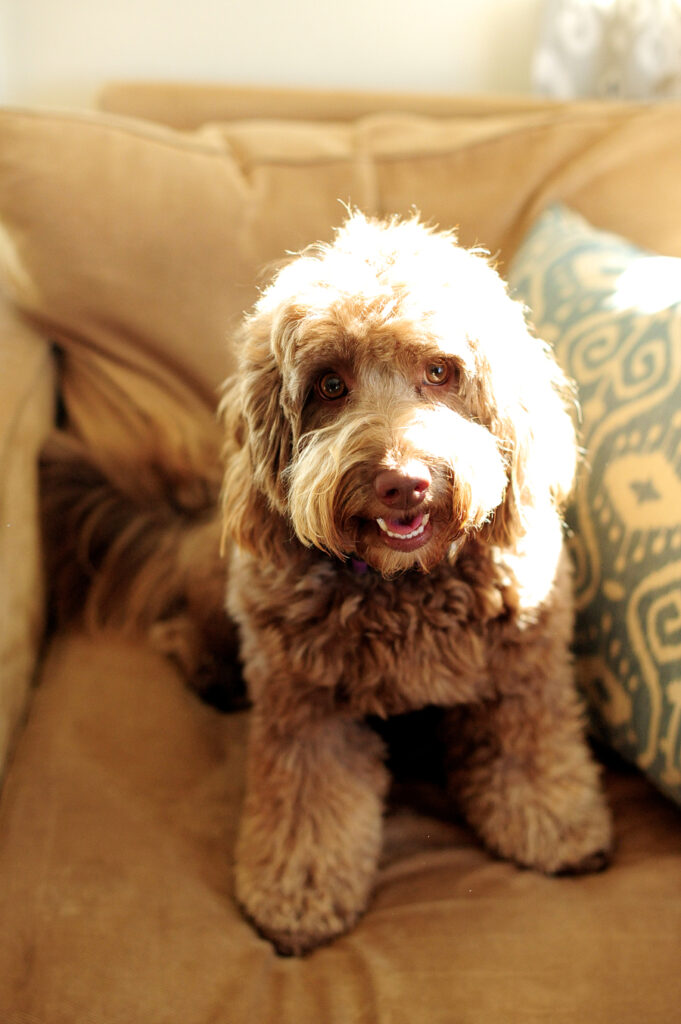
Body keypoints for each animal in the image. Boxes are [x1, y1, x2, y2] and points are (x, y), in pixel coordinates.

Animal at [220, 211, 614, 954]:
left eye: (439, 370)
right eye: (329, 385)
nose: (402, 481)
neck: (404, 585)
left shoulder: (522, 676)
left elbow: (532, 756)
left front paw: (556, 827)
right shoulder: (303, 705)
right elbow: (308, 807)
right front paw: (298, 894)